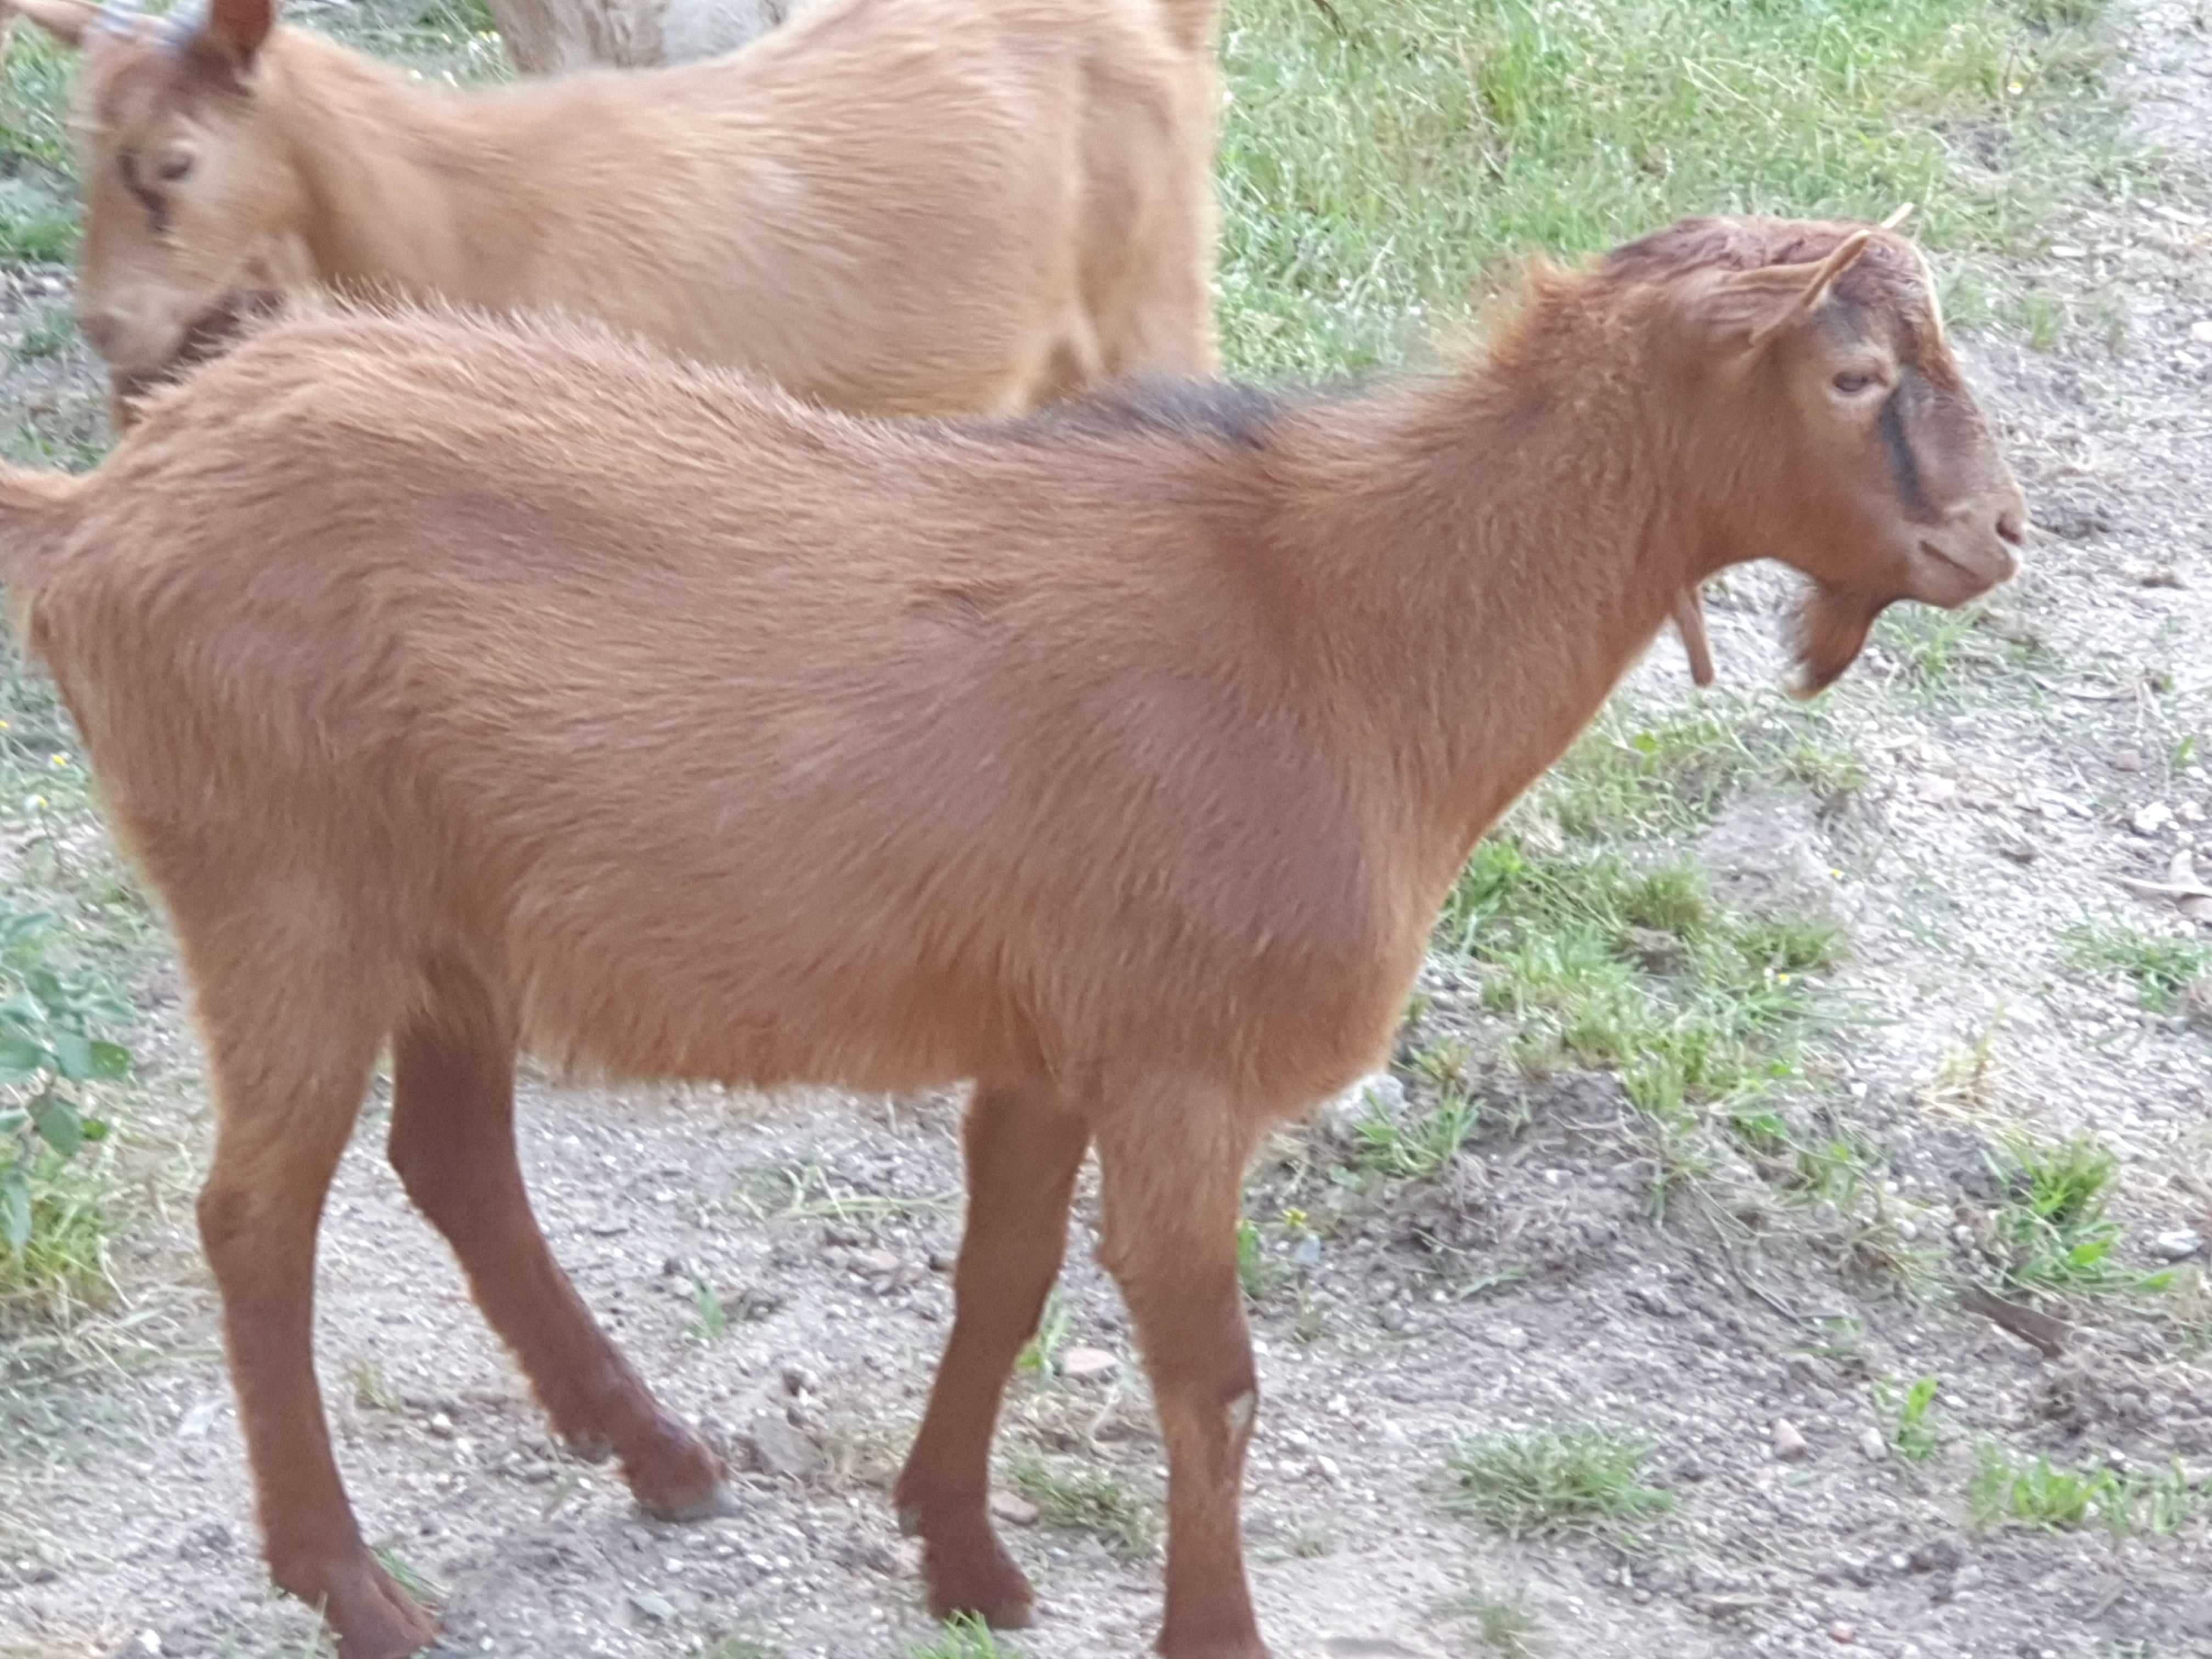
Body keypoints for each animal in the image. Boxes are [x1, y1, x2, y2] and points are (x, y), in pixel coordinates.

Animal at [0, 215, 2026, 1654]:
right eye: (1855, 369)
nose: (2000, 537)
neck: (1346, 633)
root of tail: (101, 510)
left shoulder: (1054, 1042)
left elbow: (1005, 1285)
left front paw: (960, 1552)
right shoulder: (1182, 1066)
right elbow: (1208, 1378)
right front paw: (1210, 1634)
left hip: (444, 923)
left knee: (452, 1160)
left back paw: (652, 1453)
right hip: (284, 897)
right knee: (257, 1226)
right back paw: (353, 1590)